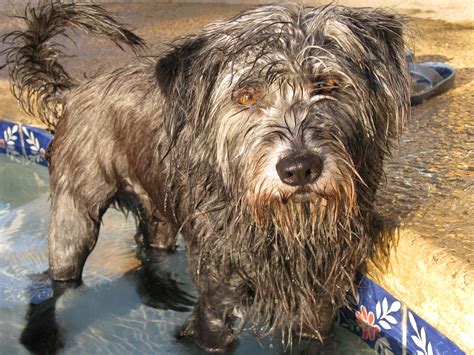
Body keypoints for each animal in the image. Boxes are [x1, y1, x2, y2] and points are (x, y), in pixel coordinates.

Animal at [1, 2, 410, 354]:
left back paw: (159, 290)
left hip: (160, 211)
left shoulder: (319, 306)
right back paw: (40, 334)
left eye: (327, 83)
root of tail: (74, 91)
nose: (299, 169)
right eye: (246, 96)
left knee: (149, 250)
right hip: (75, 219)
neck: (279, 227)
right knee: (50, 283)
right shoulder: (218, 302)